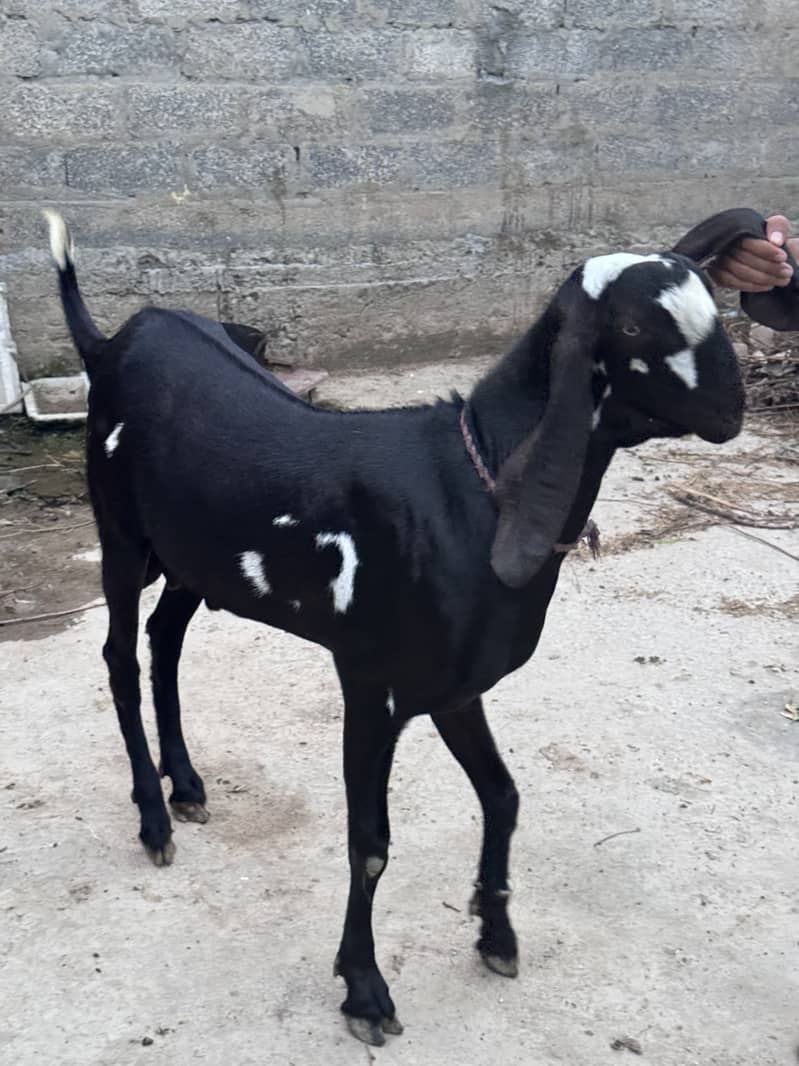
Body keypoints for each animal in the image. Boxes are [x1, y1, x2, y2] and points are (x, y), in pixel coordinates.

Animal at [44, 207, 797, 1046]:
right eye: (633, 325)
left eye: (711, 302)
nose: (730, 410)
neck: (471, 490)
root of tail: (110, 342)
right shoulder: (370, 685)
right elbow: (369, 844)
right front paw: (364, 992)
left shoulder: (452, 687)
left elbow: (502, 795)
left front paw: (495, 934)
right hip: (121, 537)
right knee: (119, 655)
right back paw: (152, 817)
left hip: (192, 561)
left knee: (164, 641)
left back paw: (187, 784)